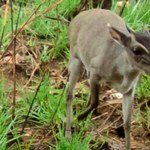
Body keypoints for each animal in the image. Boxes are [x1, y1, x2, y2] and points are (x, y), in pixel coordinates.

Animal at [65, 8, 150, 149]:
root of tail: (79, 15)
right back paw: (68, 133)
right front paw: (79, 118)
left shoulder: (129, 90)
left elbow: (127, 123)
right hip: (75, 58)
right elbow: (95, 102)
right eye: (136, 50)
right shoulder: (95, 71)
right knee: (69, 95)